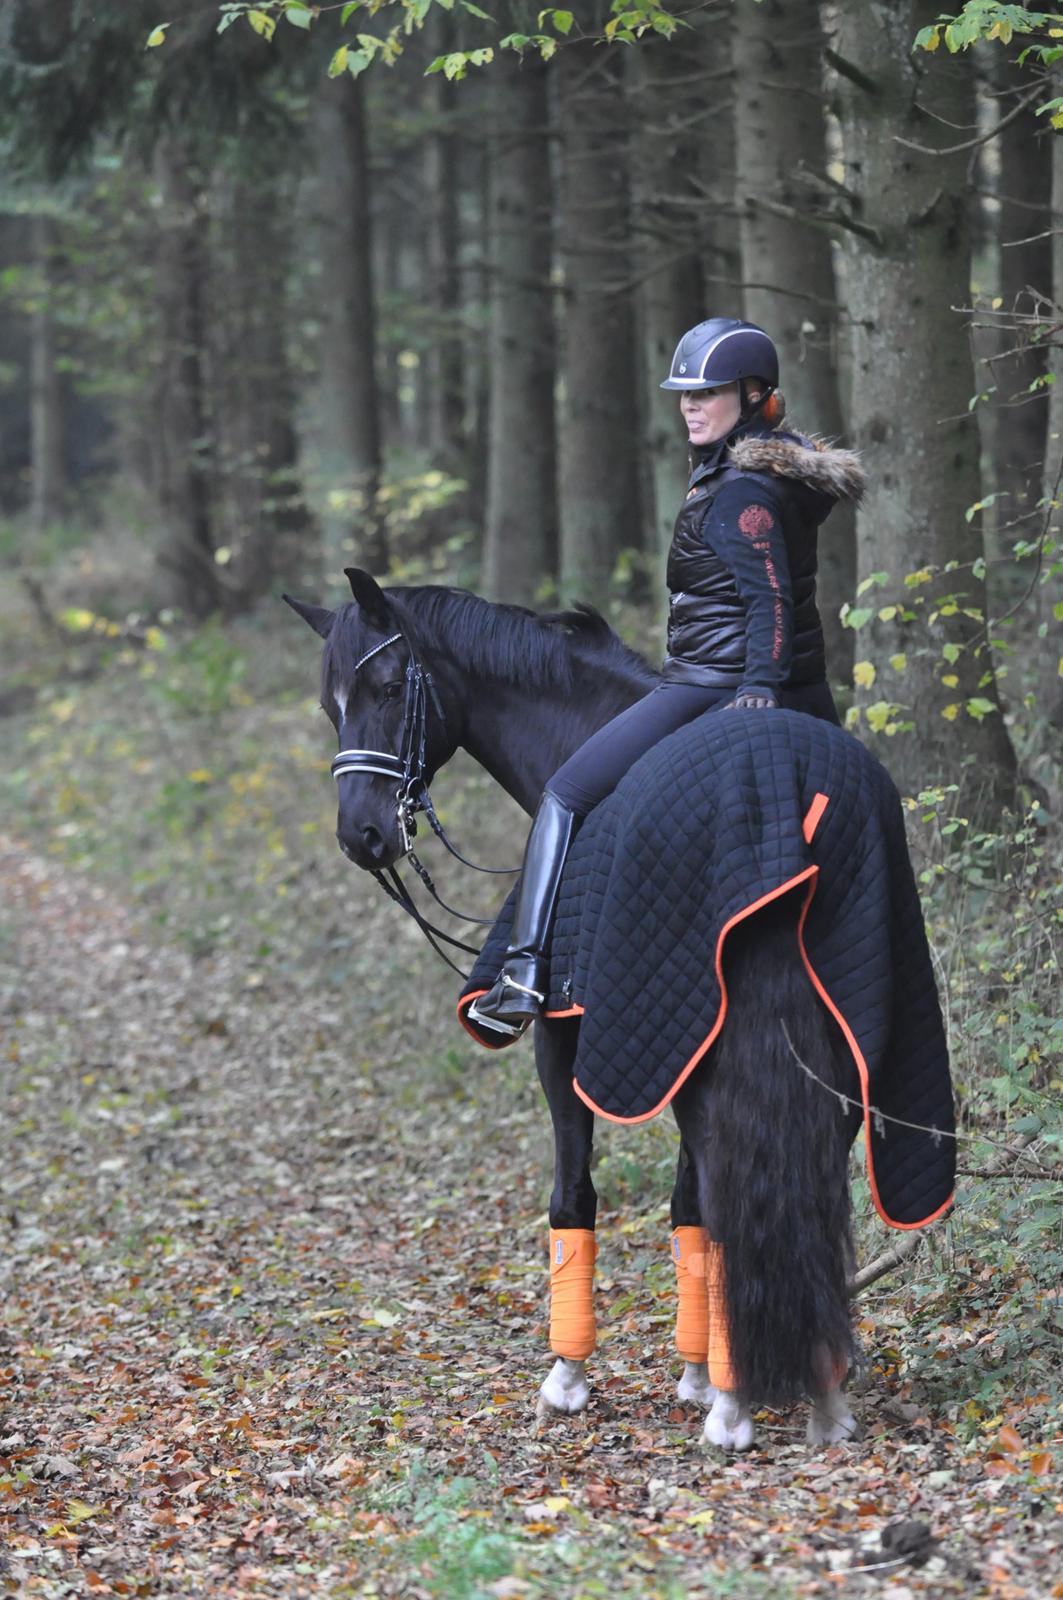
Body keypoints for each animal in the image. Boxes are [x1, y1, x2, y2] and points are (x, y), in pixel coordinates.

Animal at [286, 572, 947, 1452]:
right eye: (330, 707)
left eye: (389, 690)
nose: (360, 835)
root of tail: (781, 791)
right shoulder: (676, 1041)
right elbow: (685, 1207)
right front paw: (696, 1375)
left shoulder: (570, 1045)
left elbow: (575, 1197)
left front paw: (570, 1378)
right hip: (837, 1047)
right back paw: (820, 1393)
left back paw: (737, 1411)